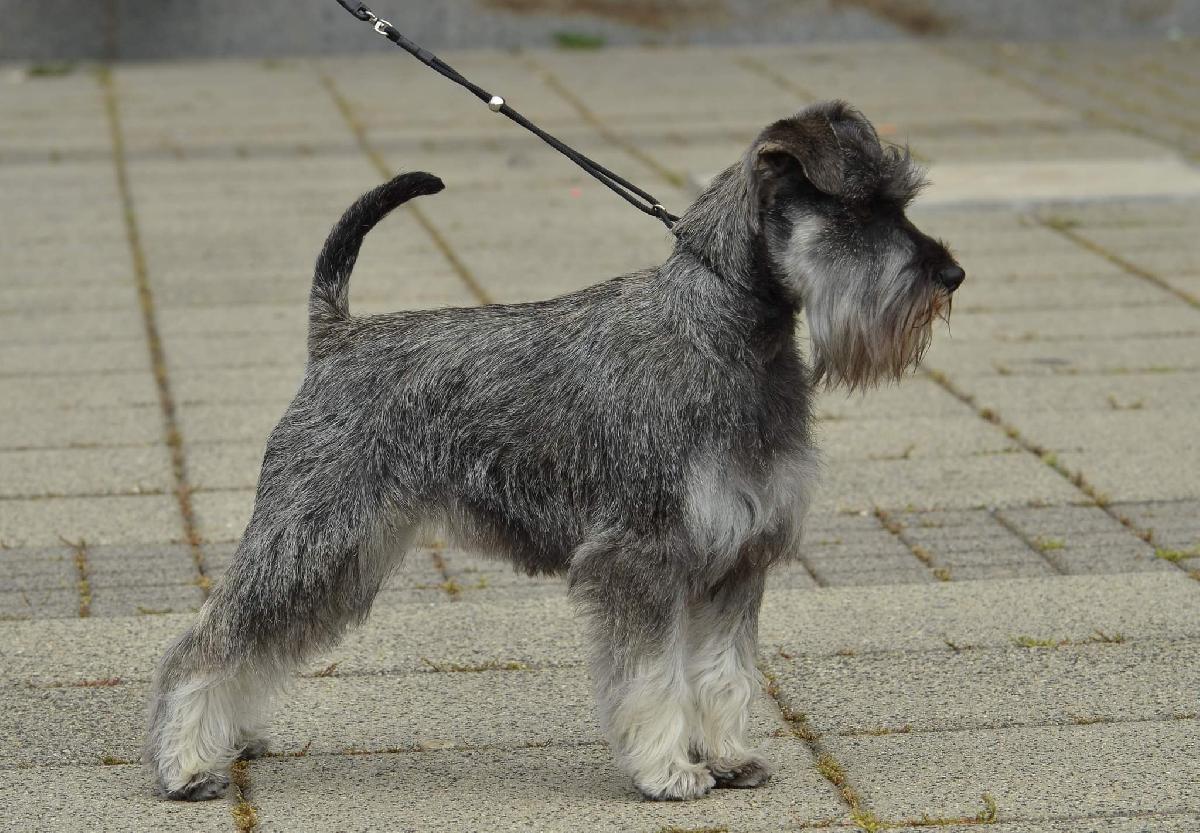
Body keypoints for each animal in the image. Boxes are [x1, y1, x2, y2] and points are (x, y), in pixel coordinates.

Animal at [146, 100, 963, 802]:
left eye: (902, 202)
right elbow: (653, 676)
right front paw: (669, 771)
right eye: (858, 209)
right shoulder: (642, 555)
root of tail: (335, 335)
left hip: (347, 556)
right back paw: (184, 766)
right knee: (206, 641)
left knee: (257, 641)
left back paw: (230, 738)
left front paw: (730, 756)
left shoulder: (738, 556)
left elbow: (723, 671)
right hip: (312, 535)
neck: (727, 332)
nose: (950, 274)